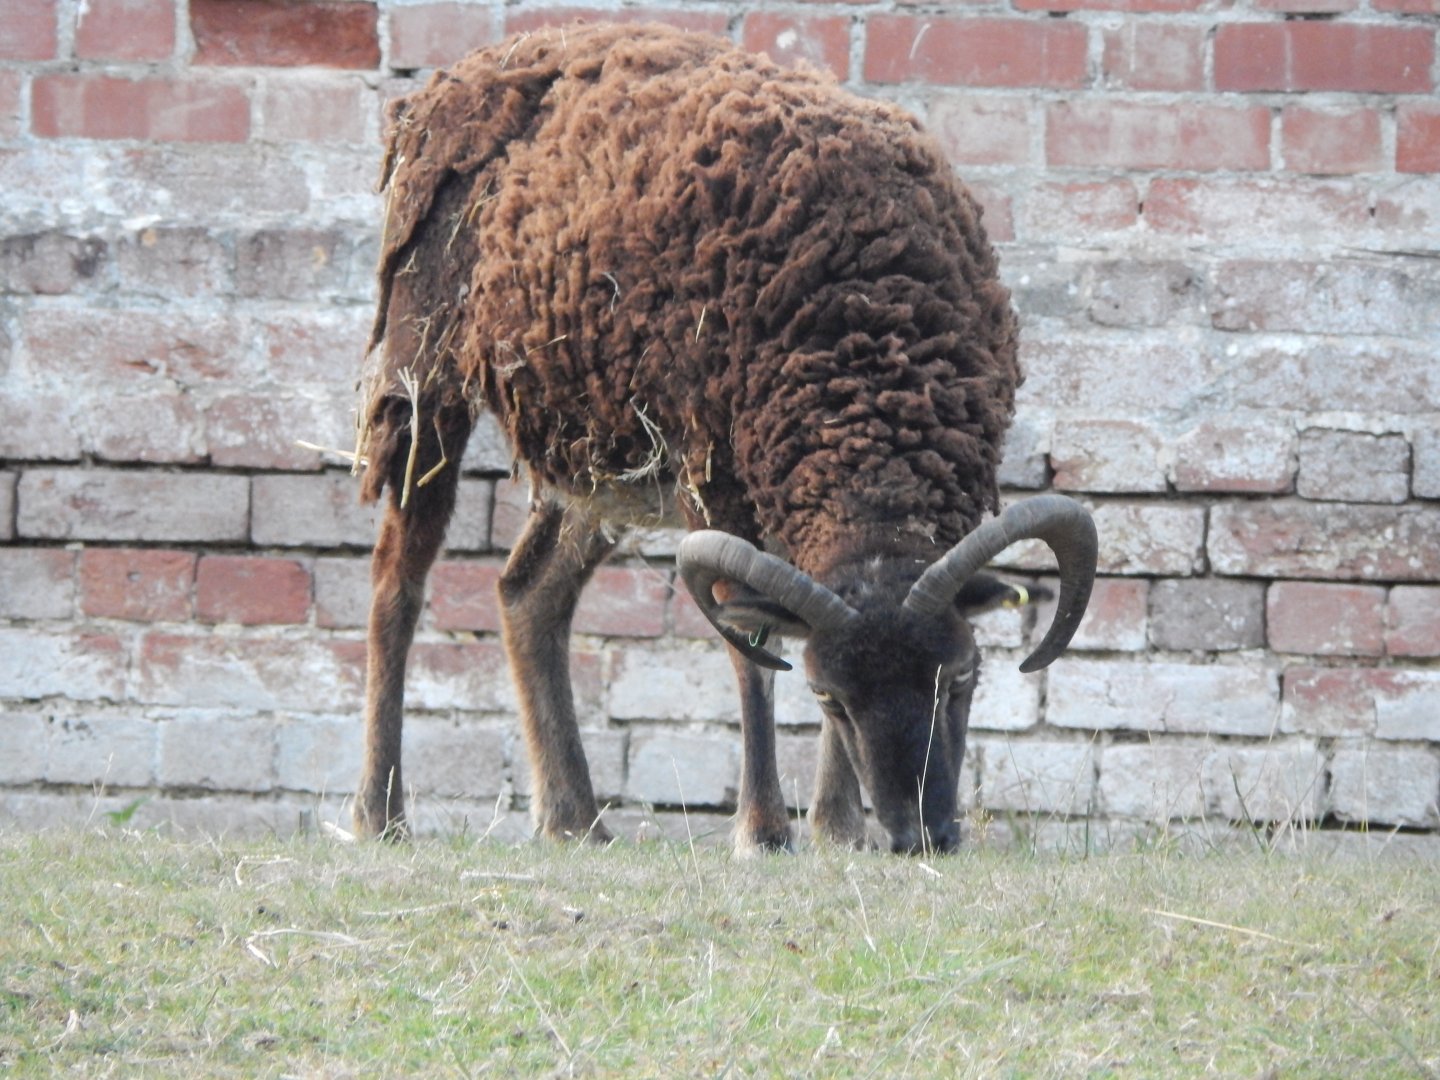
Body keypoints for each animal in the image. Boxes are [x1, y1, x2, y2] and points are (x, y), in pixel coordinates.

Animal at [352, 22, 1098, 854]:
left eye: (963, 677)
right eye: (829, 698)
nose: (919, 835)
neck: (868, 331)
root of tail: (463, 74)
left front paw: (837, 830)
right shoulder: (716, 472)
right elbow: (754, 659)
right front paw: (766, 832)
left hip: (606, 451)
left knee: (528, 593)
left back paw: (575, 820)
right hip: (425, 375)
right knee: (396, 583)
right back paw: (381, 814)